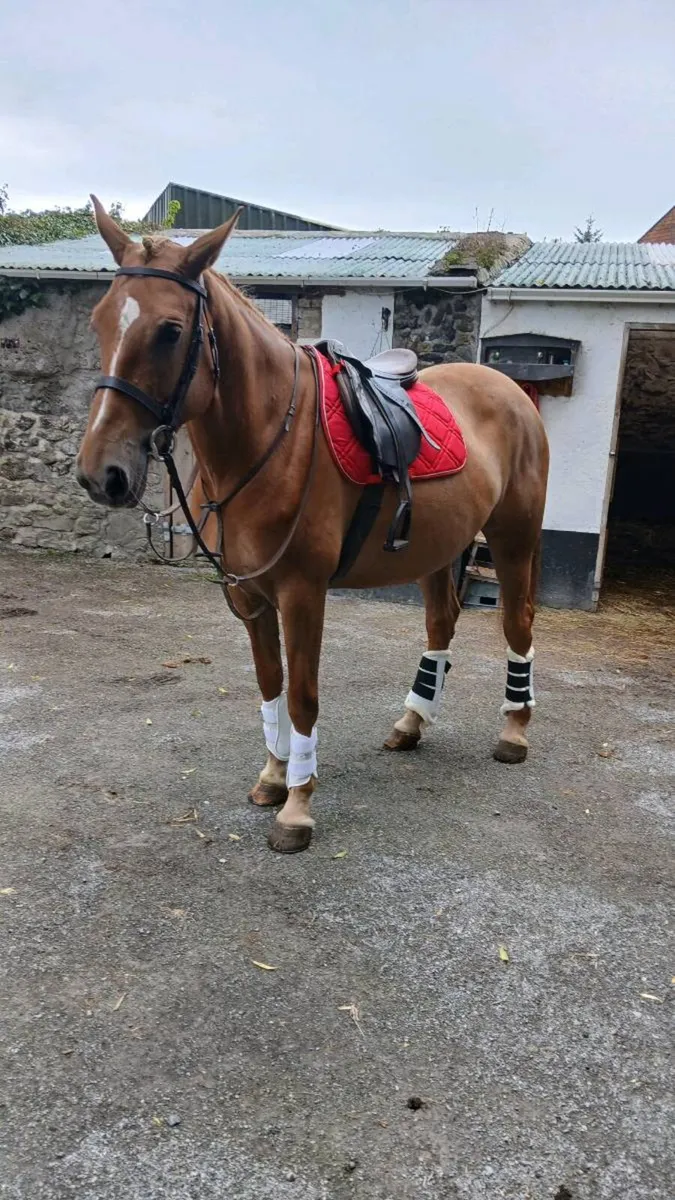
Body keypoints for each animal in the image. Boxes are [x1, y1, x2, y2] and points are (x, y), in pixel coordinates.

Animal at [76, 198, 549, 854]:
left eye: (170, 330)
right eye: (99, 322)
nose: (103, 474)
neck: (268, 442)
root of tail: (510, 389)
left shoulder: (303, 594)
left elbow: (301, 695)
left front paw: (297, 807)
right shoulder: (247, 595)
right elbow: (270, 684)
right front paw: (274, 776)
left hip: (513, 537)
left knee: (517, 622)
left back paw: (515, 730)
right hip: (436, 548)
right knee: (441, 620)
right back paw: (413, 721)